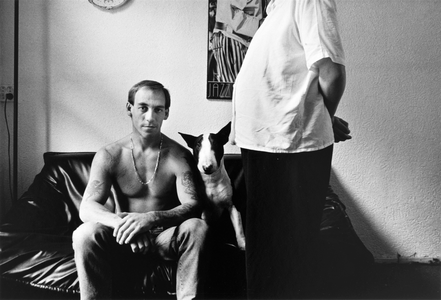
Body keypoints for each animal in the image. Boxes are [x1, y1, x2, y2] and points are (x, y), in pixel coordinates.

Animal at [180, 122, 248, 251]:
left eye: (216, 144)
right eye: (198, 145)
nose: (207, 167)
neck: (211, 181)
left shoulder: (232, 205)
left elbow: (239, 226)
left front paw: (243, 245)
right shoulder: (203, 211)